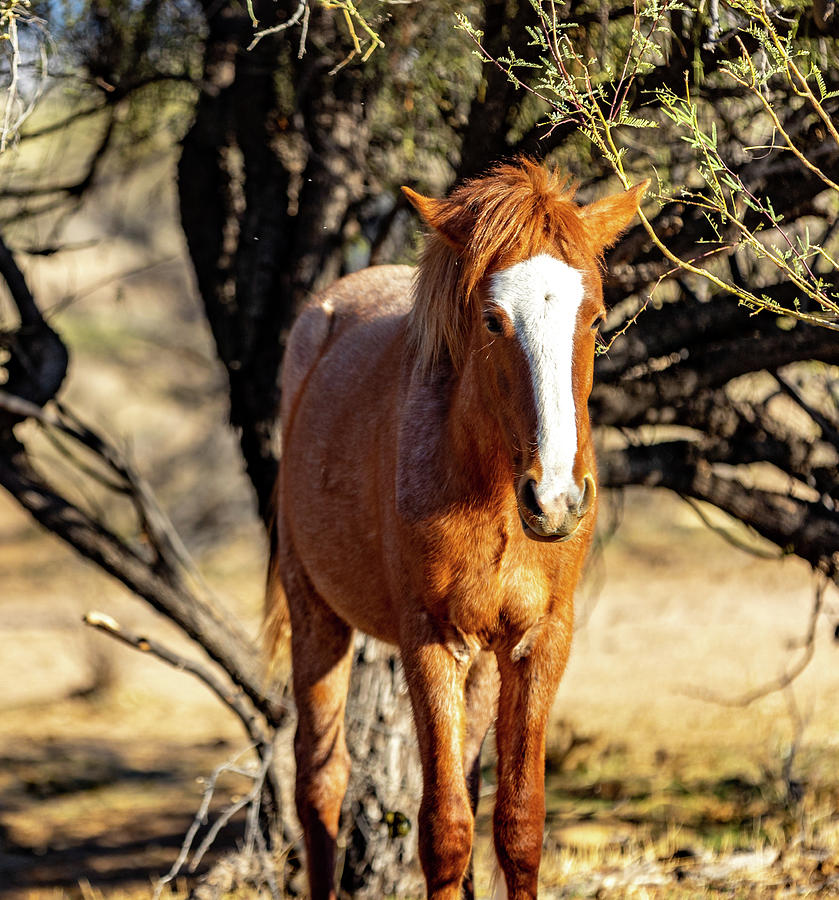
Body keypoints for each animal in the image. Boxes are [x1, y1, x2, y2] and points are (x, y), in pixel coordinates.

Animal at [266, 162, 648, 900]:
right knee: (320, 784)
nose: (555, 500)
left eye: (594, 317)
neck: (488, 488)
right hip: (316, 614)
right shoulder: (431, 642)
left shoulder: (538, 641)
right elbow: (444, 830)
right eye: (493, 320)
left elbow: (518, 825)